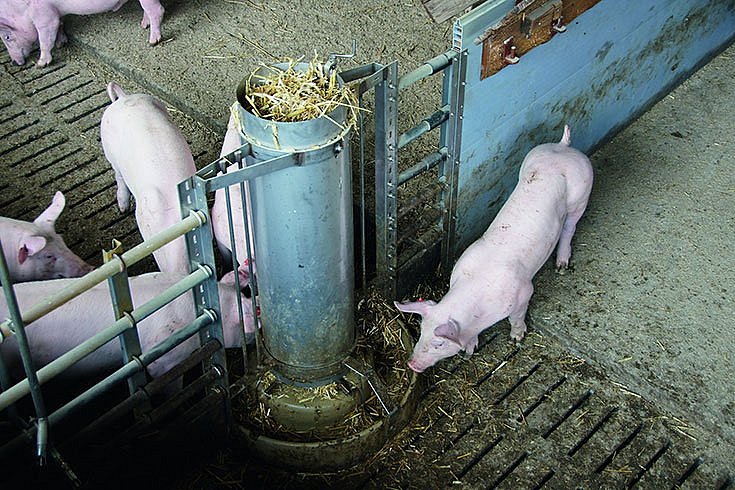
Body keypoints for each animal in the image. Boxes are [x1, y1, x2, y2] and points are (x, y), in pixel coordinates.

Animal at [0, 0, 164, 66]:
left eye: (7, 37)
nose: (14, 63)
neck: (22, 11)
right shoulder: (56, 14)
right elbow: (60, 25)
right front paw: (61, 43)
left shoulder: (45, 17)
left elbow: (45, 41)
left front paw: (41, 64)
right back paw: (143, 25)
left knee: (157, 10)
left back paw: (153, 41)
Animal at [394, 125, 596, 372]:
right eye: (422, 331)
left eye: (439, 343)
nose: (412, 364)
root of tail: (564, 147)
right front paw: (470, 350)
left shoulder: (524, 292)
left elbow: (516, 318)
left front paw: (517, 337)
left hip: (581, 195)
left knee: (570, 227)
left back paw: (561, 266)